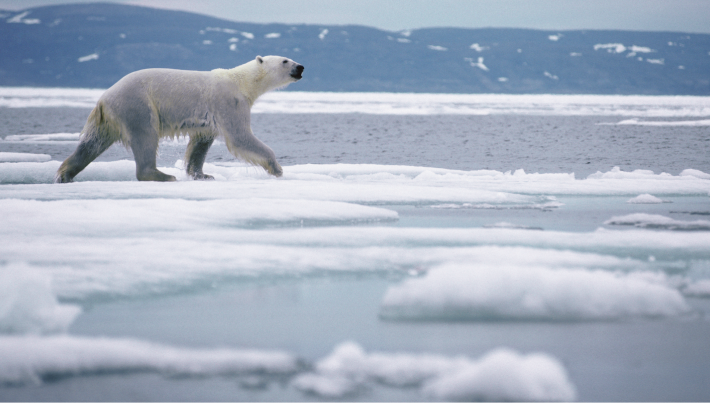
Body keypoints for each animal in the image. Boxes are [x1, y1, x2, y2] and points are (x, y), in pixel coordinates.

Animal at [55, 55, 304, 182]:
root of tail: (103, 98)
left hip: (108, 118)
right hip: (137, 104)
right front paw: (277, 168)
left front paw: (202, 174)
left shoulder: (209, 118)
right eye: (285, 60)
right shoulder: (228, 102)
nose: (301, 66)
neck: (242, 81)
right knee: (145, 136)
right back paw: (161, 175)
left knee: (91, 143)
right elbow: (240, 137)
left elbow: (200, 143)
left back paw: (65, 174)